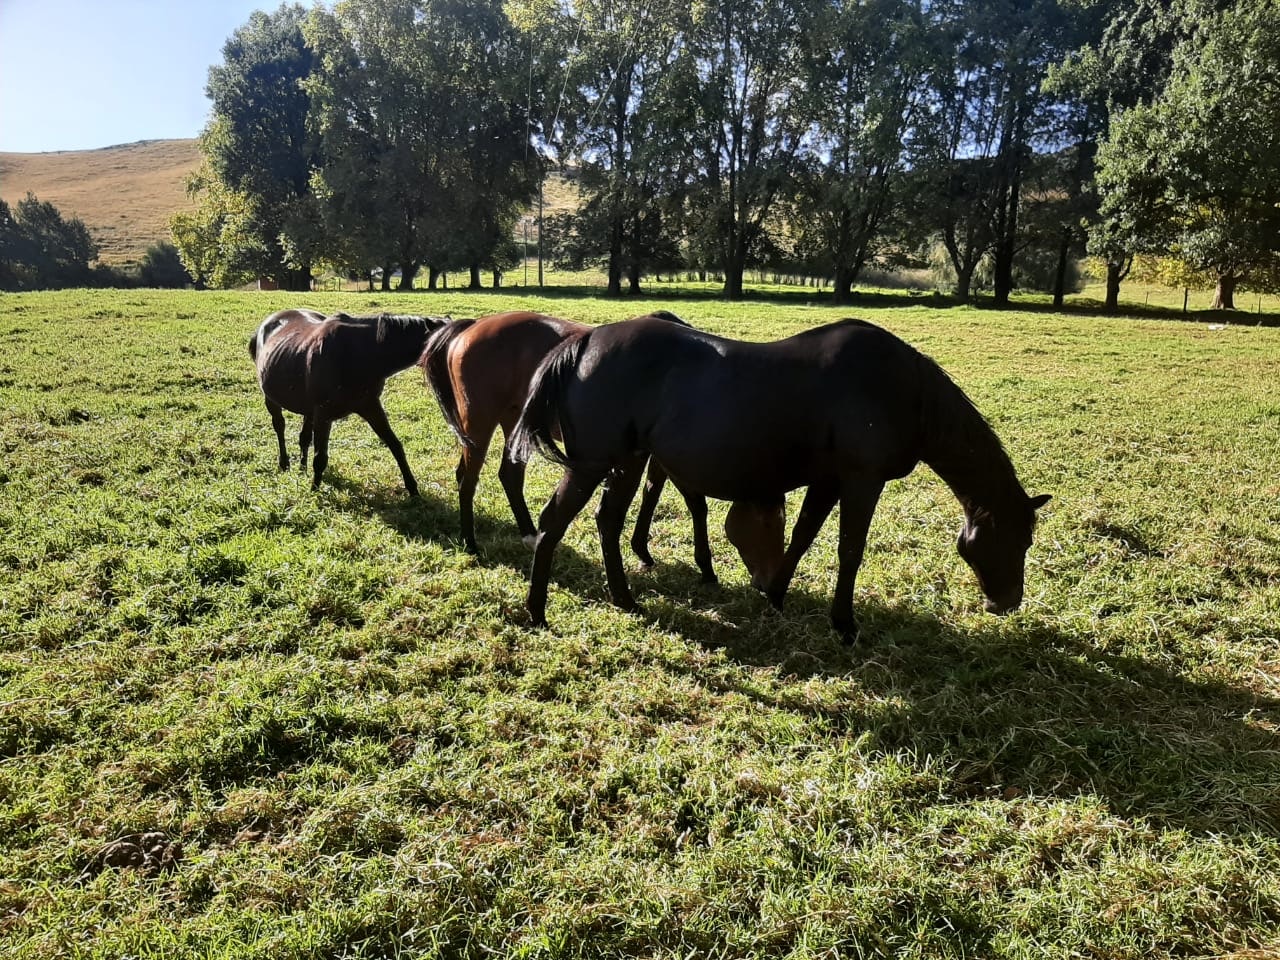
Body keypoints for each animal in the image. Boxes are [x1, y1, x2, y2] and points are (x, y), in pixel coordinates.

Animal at [249, 308, 448, 494]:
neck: (357, 353)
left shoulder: (370, 406)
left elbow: (395, 445)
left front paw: (413, 489)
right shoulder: (324, 414)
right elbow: (320, 458)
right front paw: (314, 491)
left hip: (309, 410)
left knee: (303, 438)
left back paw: (302, 468)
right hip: (272, 399)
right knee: (279, 426)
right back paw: (284, 463)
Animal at [422, 309, 761, 585]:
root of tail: (473, 326)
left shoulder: (654, 457)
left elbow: (653, 495)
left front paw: (643, 550)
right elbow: (694, 503)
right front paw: (704, 566)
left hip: (515, 424)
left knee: (509, 475)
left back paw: (530, 535)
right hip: (479, 424)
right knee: (467, 479)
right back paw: (470, 542)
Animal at [512, 315, 1051, 641]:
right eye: (1017, 540)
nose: (1008, 602)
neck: (901, 390)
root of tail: (585, 342)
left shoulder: (829, 480)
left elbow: (804, 535)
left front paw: (774, 593)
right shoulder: (862, 480)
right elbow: (849, 549)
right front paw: (843, 624)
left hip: (628, 461)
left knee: (607, 522)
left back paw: (624, 599)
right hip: (594, 464)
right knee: (553, 523)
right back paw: (537, 611)